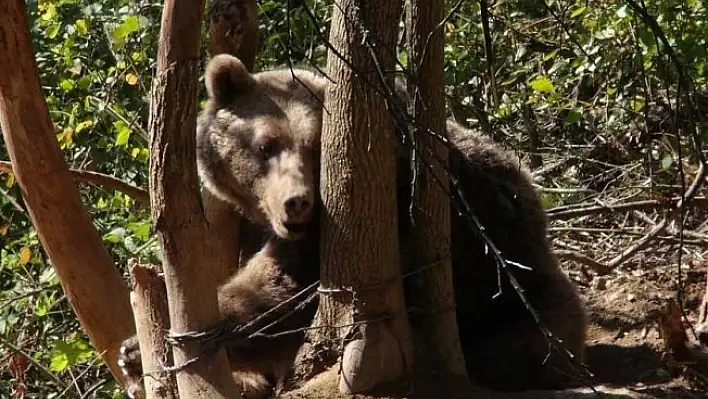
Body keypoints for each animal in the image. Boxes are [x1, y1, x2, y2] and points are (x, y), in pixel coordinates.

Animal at [120, 54, 588, 398]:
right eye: (266, 144)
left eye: (315, 149)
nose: (297, 202)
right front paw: (133, 350)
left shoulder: (385, 210)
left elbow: (283, 290)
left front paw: (159, 342)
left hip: (513, 285)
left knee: (528, 341)